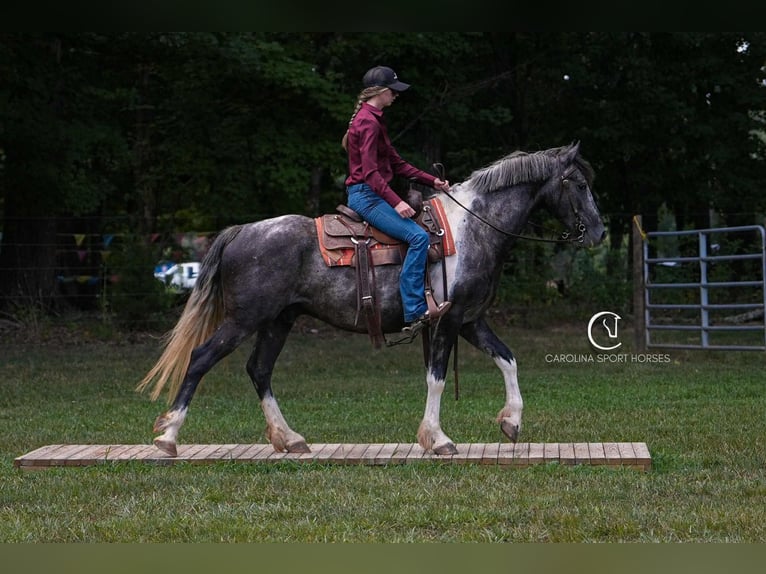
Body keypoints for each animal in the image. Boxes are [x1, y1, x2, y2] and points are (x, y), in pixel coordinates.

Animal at [137, 141, 606, 457]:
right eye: (580, 184)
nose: (600, 233)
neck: (475, 228)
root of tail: (241, 231)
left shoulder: (471, 320)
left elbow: (507, 359)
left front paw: (511, 422)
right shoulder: (447, 321)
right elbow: (436, 377)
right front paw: (438, 439)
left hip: (279, 320)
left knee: (259, 370)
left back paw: (289, 438)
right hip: (243, 320)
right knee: (201, 359)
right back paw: (169, 437)